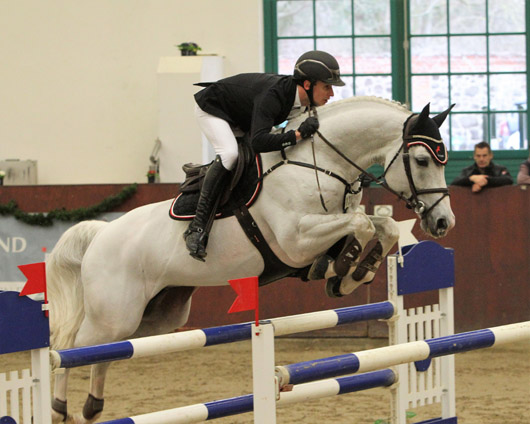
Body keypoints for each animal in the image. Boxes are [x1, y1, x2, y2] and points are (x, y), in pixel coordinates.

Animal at [46, 97, 454, 422]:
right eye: (421, 160)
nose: (443, 223)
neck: (317, 164)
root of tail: (101, 234)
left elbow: (382, 225)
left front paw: (354, 272)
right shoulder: (296, 240)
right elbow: (361, 225)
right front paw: (345, 270)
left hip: (153, 319)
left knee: (103, 354)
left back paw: (92, 406)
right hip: (115, 314)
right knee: (68, 348)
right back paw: (60, 408)